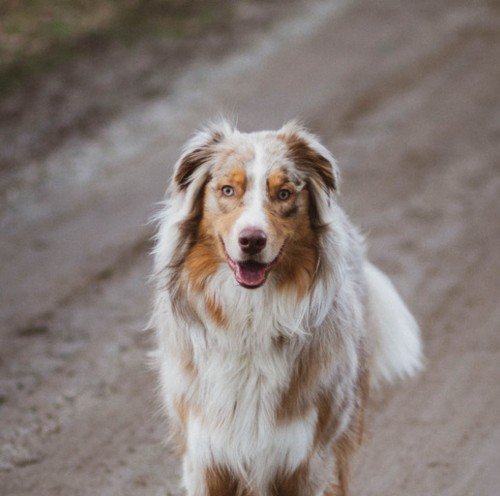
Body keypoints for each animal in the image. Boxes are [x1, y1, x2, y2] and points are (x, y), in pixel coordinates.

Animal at [151, 121, 422, 496]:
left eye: (284, 194)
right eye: (227, 190)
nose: (251, 240)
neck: (251, 318)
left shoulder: (304, 458)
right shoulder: (206, 457)